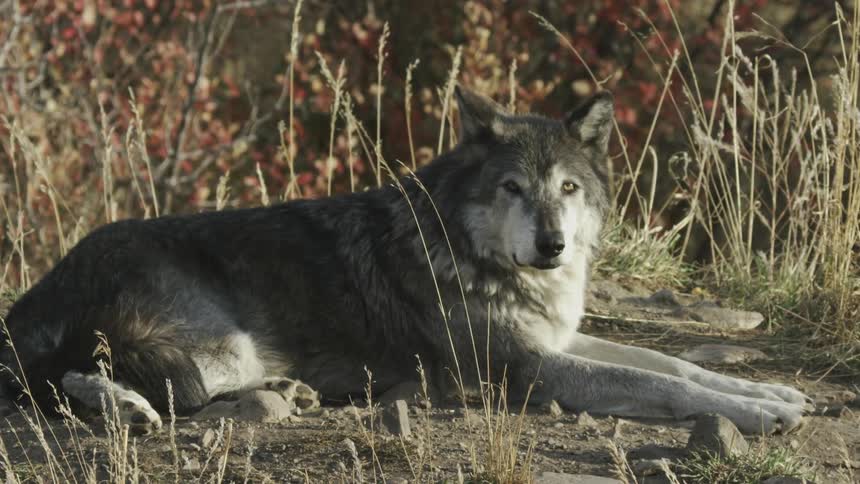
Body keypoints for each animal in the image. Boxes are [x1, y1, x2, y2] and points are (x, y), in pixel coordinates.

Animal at [0, 87, 809, 435]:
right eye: (513, 189)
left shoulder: (557, 339)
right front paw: (758, 413)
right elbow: (662, 386)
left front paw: (773, 395)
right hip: (219, 345)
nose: (552, 245)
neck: (469, 249)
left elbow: (672, 364)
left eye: (568, 189)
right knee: (77, 378)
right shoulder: (527, 369)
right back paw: (129, 408)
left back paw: (287, 393)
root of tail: (36, 294)